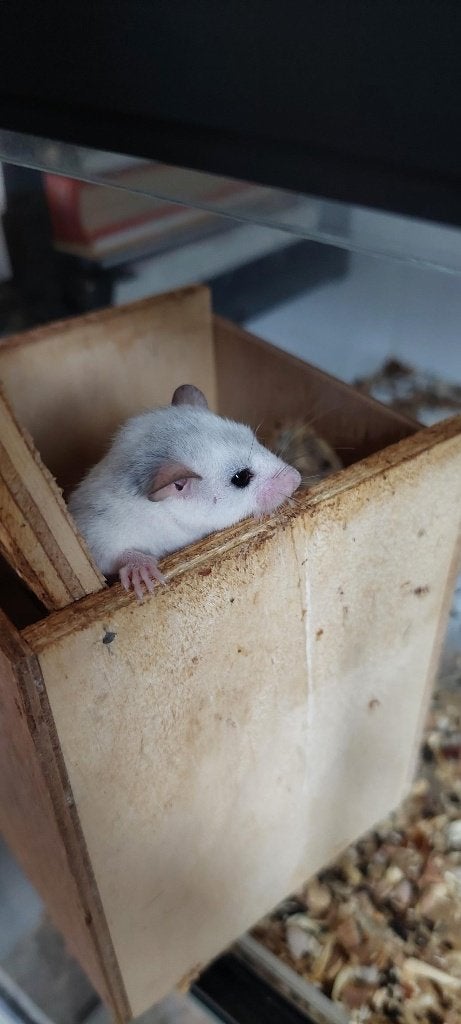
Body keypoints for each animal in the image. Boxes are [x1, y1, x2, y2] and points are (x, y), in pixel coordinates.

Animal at [68, 384, 301, 599]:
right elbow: (107, 554)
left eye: (253, 437)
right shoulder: (102, 527)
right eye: (241, 478)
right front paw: (139, 565)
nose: (296, 479)